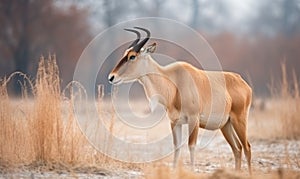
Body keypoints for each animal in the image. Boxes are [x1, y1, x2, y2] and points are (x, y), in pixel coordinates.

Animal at [109, 26, 252, 173]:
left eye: (132, 56)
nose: (111, 77)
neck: (174, 82)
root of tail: (241, 81)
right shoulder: (175, 122)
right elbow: (176, 147)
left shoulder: (193, 120)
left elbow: (191, 146)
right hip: (226, 125)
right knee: (237, 148)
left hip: (239, 120)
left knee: (247, 147)